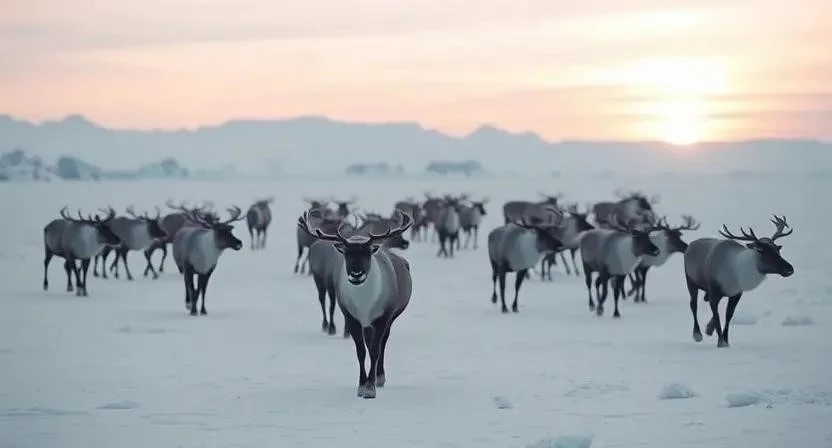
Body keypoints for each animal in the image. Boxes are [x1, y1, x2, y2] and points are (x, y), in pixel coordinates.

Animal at [298, 208, 414, 399]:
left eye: (367, 253)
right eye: (347, 254)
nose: (356, 274)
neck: (365, 304)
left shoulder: (382, 318)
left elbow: (375, 351)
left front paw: (371, 387)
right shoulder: (352, 318)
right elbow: (361, 352)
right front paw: (362, 385)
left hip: (389, 319)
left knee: (383, 343)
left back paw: (380, 377)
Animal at [684, 215, 794, 347]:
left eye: (777, 249)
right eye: (761, 250)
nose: (789, 268)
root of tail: (690, 245)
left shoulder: (736, 293)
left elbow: (728, 315)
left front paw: (725, 340)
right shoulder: (714, 291)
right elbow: (717, 315)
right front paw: (720, 341)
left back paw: (709, 329)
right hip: (690, 281)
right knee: (693, 305)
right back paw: (697, 334)